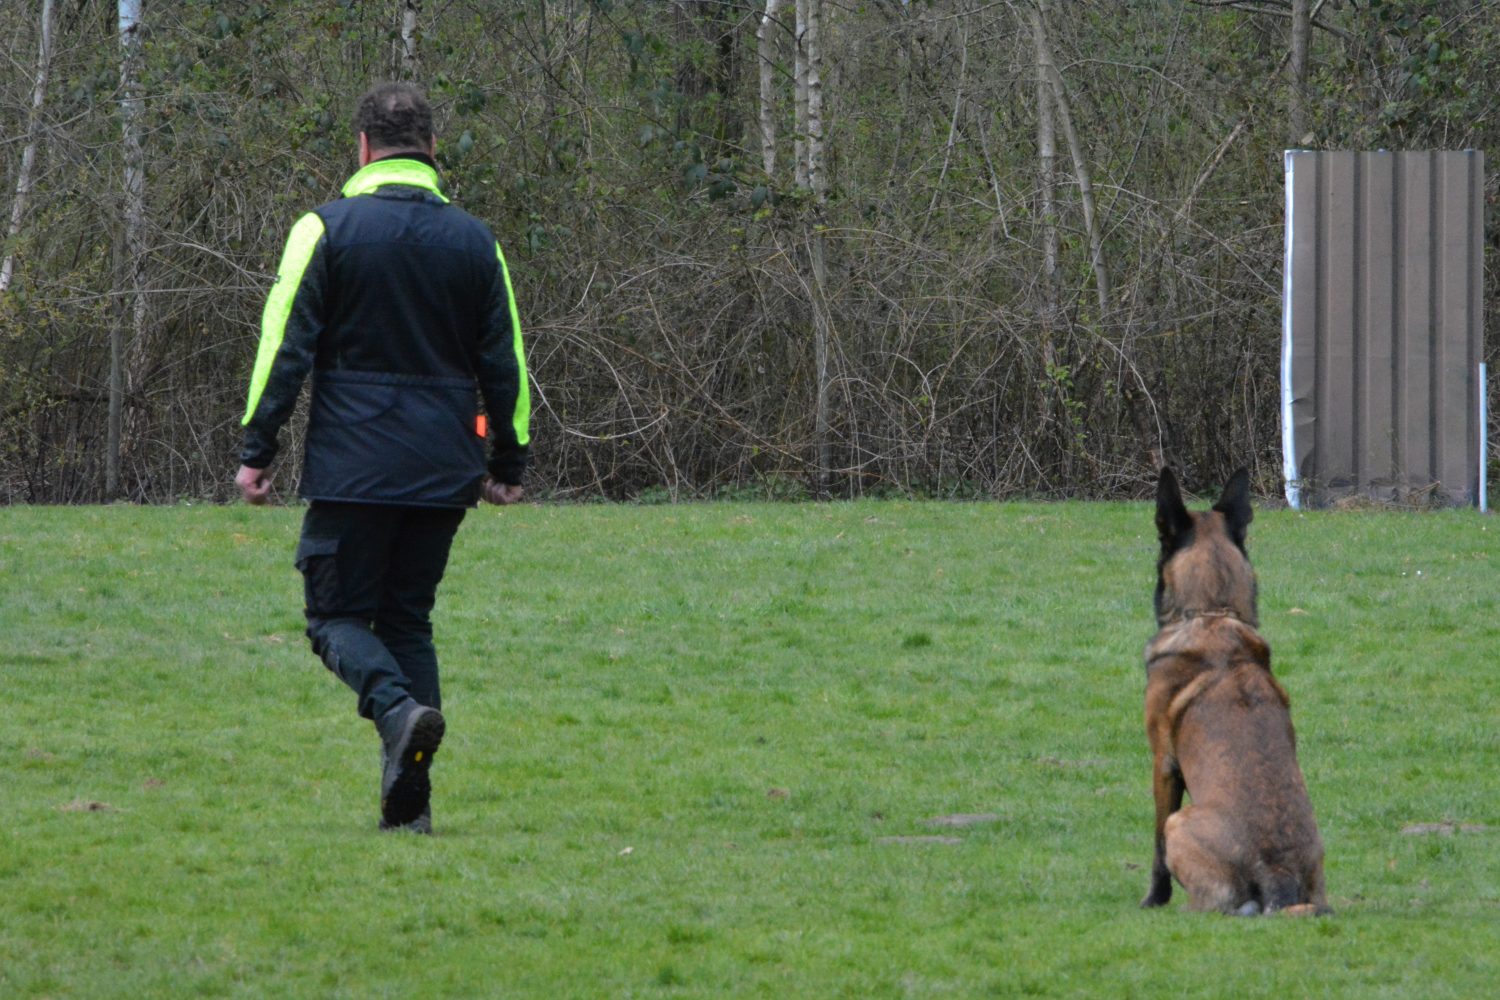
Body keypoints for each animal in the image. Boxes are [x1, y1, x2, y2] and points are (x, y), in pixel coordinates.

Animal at [1140, 470, 1332, 917]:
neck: (1212, 613)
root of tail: (1279, 875)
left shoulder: (1164, 763)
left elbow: (1156, 850)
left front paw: (1152, 900)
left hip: (1181, 823)